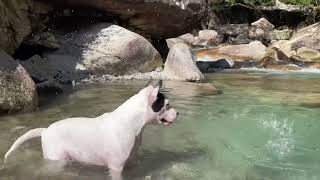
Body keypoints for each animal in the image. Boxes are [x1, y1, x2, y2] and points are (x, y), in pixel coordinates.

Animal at [5, 80, 179, 180]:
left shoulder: (131, 162)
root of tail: (45, 130)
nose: (178, 113)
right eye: (167, 104)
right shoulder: (116, 168)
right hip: (57, 160)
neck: (132, 123)